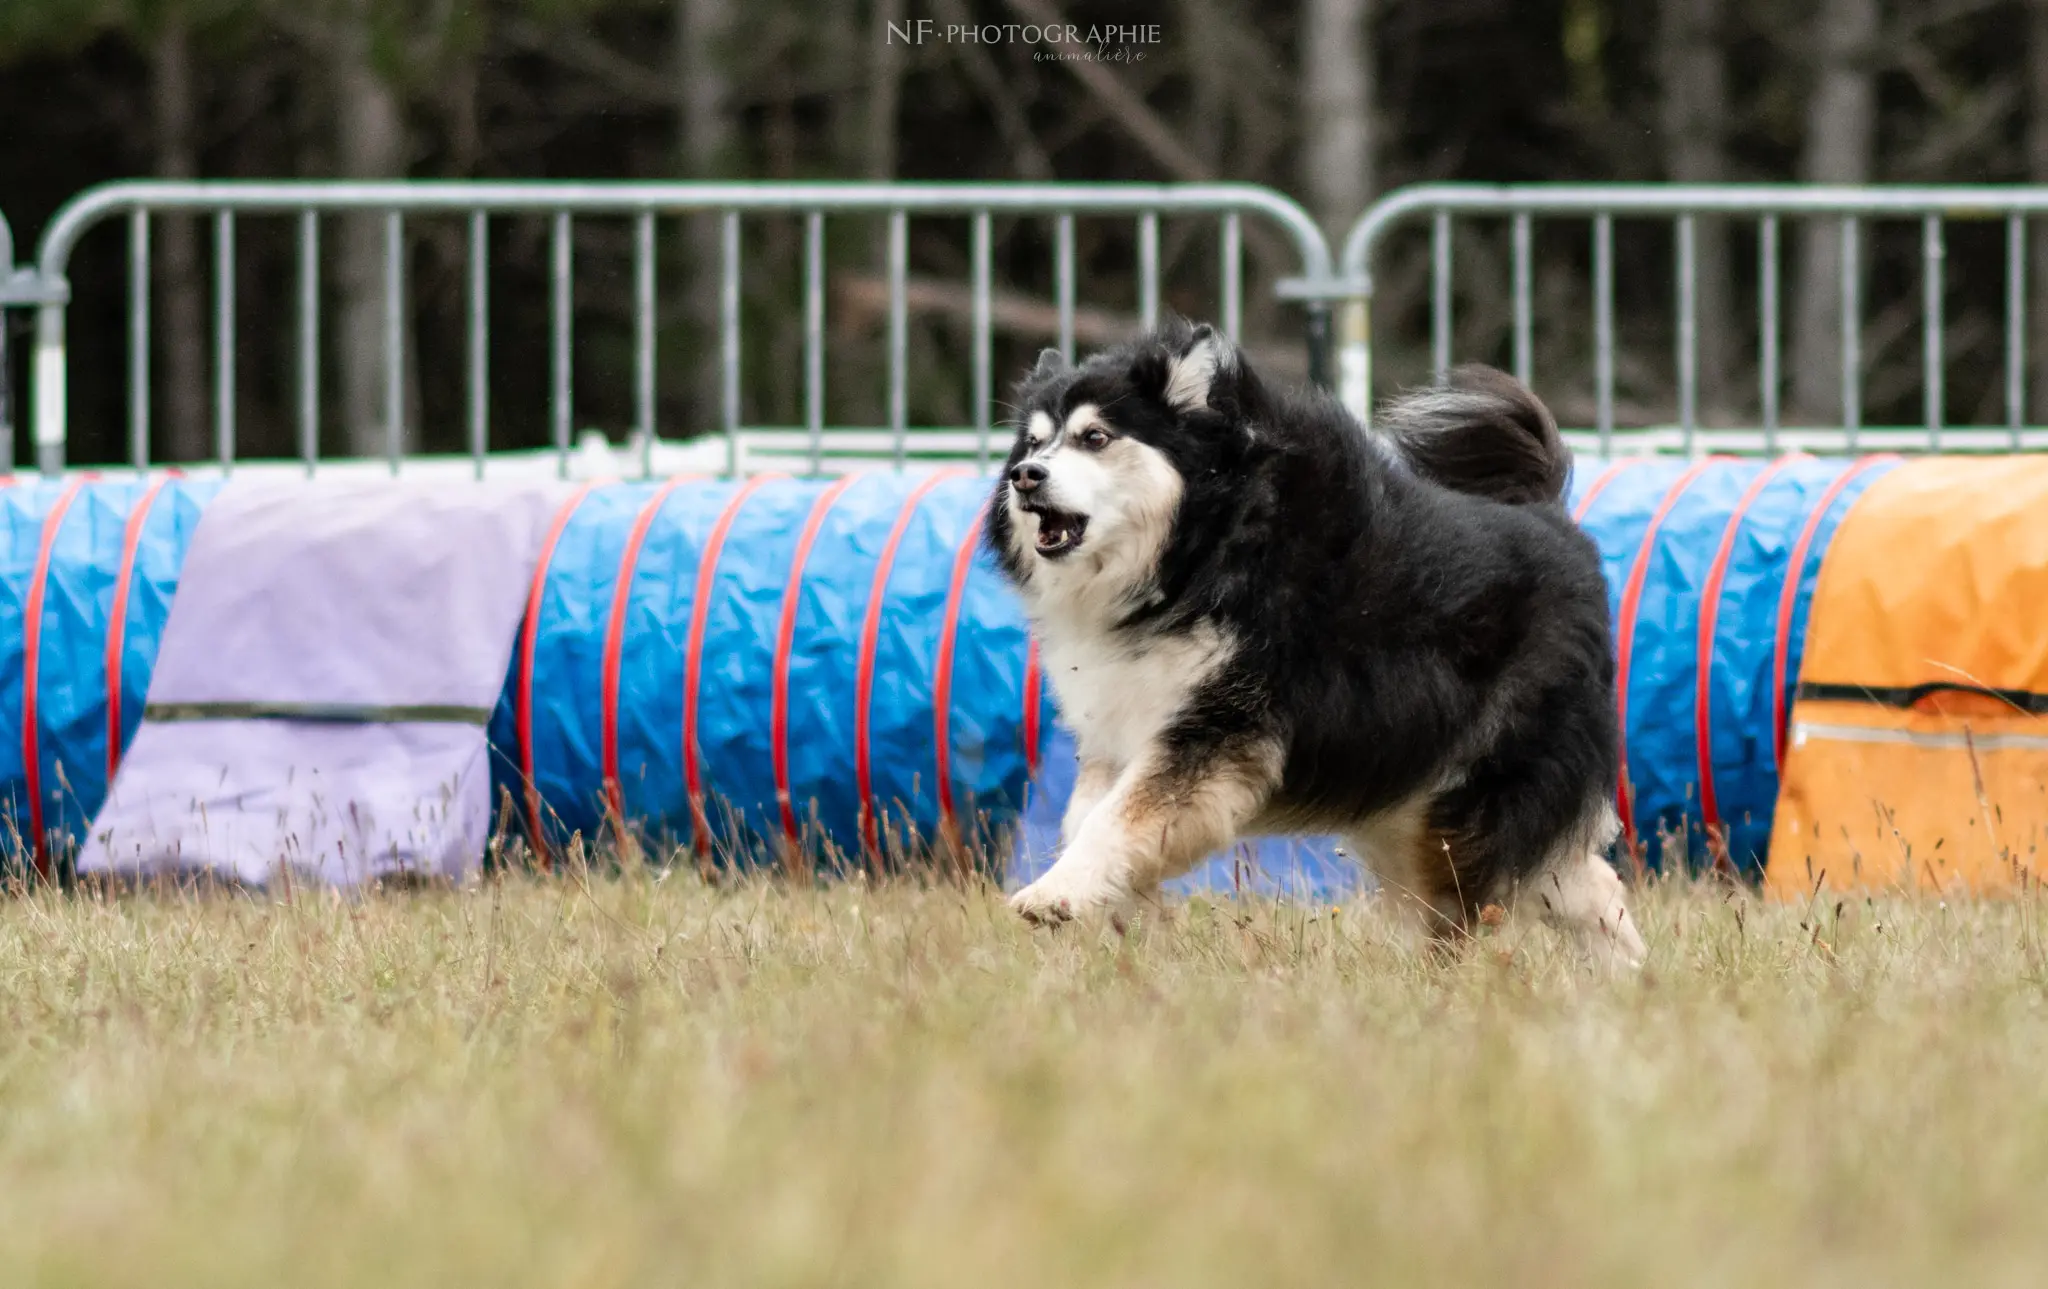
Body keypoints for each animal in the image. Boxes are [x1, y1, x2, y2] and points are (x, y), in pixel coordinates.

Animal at [991, 319, 1646, 967]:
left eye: (1095, 437)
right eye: (1033, 445)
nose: (1025, 477)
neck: (1200, 543)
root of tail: (1556, 522)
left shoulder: (1217, 726)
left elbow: (1116, 818)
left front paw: (1054, 894)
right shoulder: (1125, 720)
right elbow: (1088, 816)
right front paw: (1129, 909)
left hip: (1476, 796)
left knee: (1466, 899)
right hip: (1407, 794)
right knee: (1580, 882)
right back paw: (1626, 974)